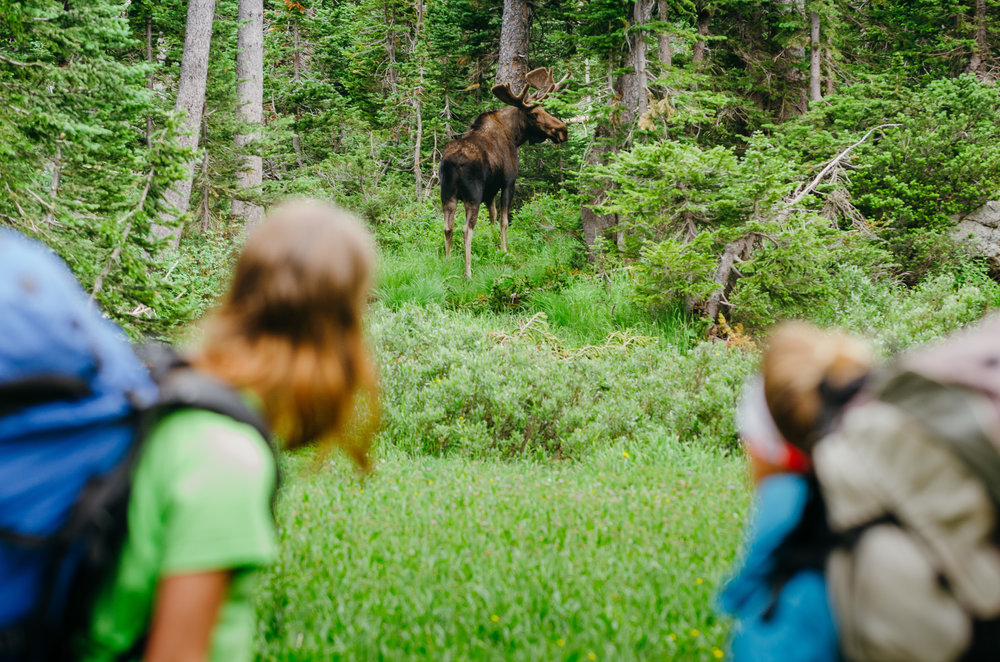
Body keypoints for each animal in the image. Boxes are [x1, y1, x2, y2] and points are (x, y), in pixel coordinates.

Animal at [439, 67, 570, 279]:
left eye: (543, 109)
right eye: (534, 114)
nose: (563, 130)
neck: (514, 136)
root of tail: (452, 163)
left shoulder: (490, 191)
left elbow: (492, 218)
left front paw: (493, 245)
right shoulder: (508, 182)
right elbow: (504, 221)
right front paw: (505, 250)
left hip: (447, 195)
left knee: (447, 228)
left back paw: (448, 264)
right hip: (472, 196)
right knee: (466, 229)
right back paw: (468, 272)